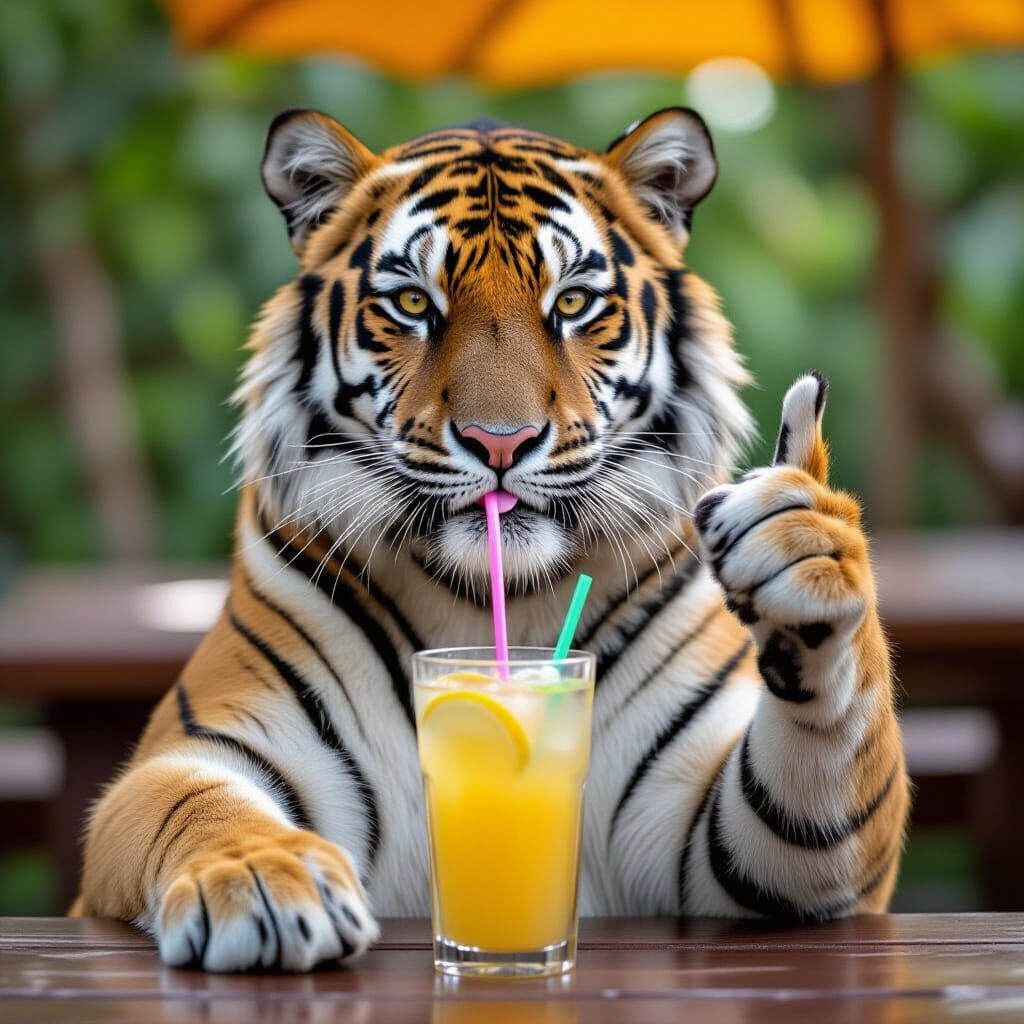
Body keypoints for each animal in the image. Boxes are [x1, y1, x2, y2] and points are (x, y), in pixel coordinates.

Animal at [73, 107, 909, 971]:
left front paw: (808, 550)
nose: (499, 441)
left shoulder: (731, 843)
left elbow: (824, 765)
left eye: (573, 303)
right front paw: (259, 879)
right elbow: (191, 801)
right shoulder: (195, 749)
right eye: (414, 302)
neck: (491, 601)